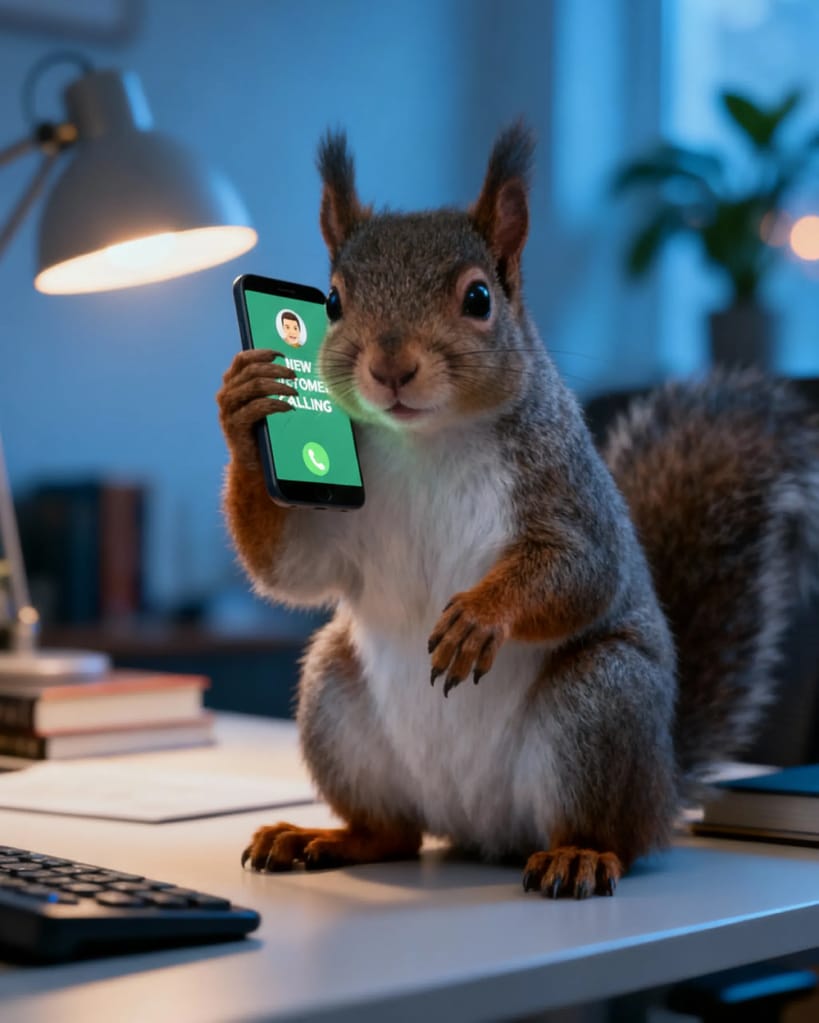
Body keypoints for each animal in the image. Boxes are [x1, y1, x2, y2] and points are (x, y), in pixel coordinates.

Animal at [217, 124, 819, 898]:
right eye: (334, 300)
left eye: (478, 298)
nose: (390, 368)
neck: (428, 440)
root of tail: (476, 826)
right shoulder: (339, 522)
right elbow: (290, 567)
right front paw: (244, 406)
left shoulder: (565, 487)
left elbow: (582, 569)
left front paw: (480, 615)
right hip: (333, 697)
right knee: (393, 833)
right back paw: (322, 836)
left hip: (601, 703)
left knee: (613, 833)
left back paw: (580, 855)